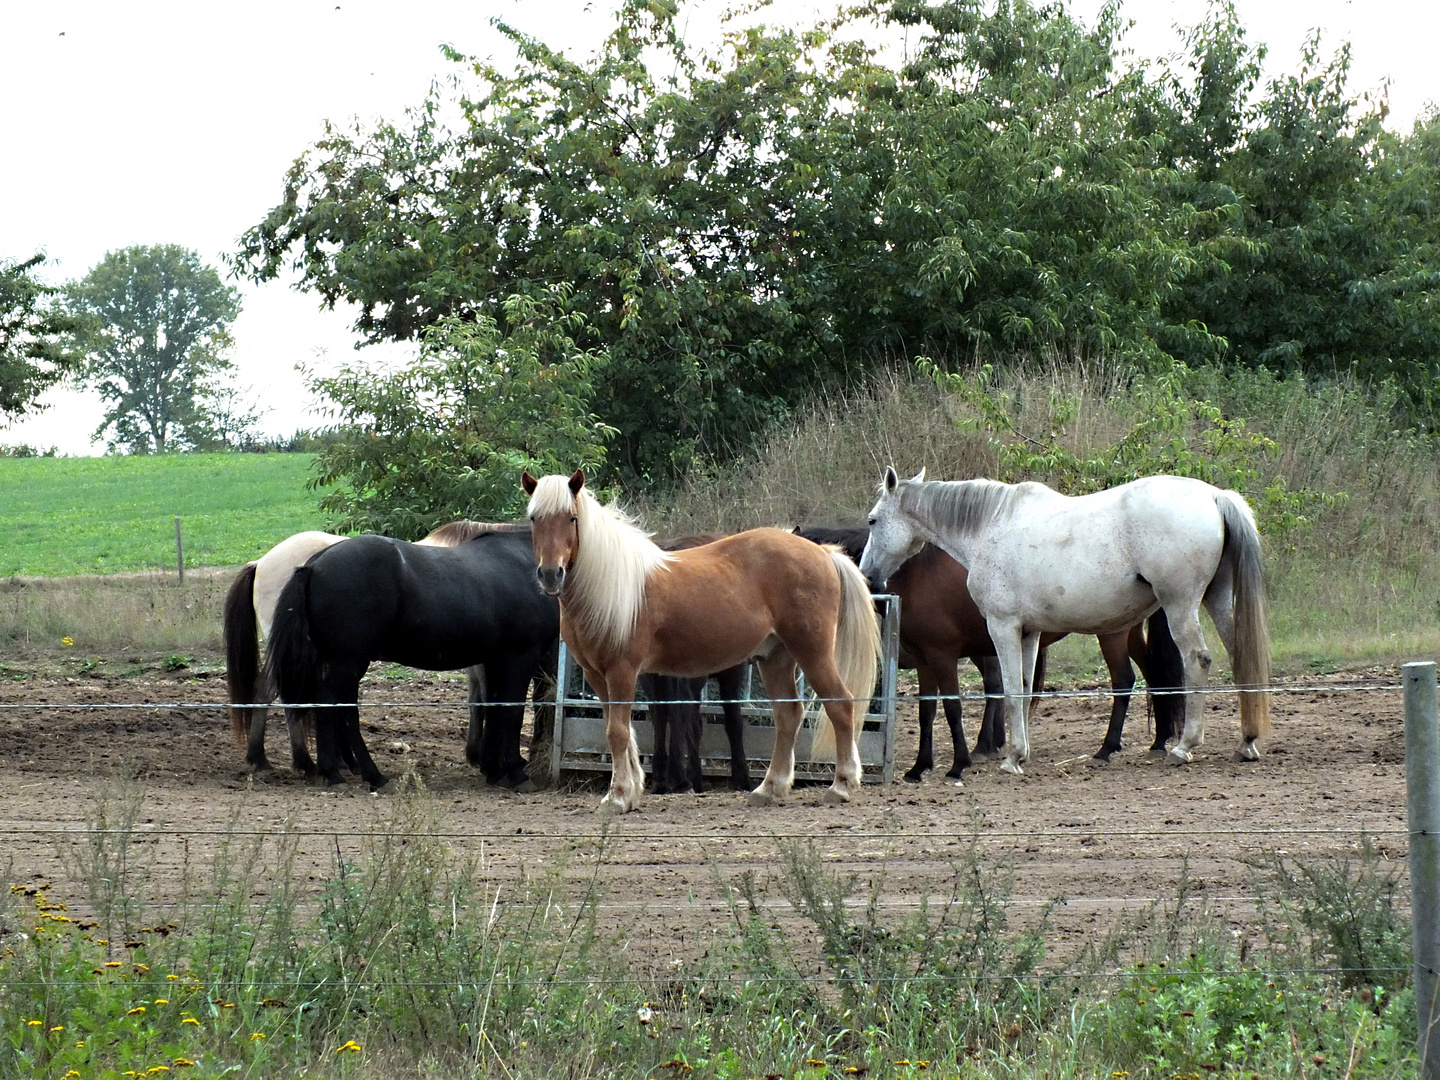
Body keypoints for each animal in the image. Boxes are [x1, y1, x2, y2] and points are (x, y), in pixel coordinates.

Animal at [524, 469, 881, 817]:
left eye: (571, 517)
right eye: (533, 518)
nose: (551, 574)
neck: (612, 585)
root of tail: (823, 553)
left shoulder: (622, 672)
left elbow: (618, 732)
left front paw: (620, 797)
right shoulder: (598, 675)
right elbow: (622, 732)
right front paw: (629, 791)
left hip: (813, 653)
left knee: (840, 705)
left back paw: (841, 786)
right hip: (776, 658)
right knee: (788, 715)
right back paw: (769, 789)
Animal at [789, 524, 1180, 777]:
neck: (909, 575)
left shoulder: (942, 656)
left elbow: (952, 709)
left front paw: (958, 763)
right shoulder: (926, 660)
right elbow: (927, 712)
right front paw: (920, 766)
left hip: (1110, 635)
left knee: (1124, 681)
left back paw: (1107, 747)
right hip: (1127, 631)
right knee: (1154, 676)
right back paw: (1160, 739)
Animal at [852, 469, 1272, 771]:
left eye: (872, 520)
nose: (868, 574)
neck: (989, 525)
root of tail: (1214, 496)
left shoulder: (1002, 627)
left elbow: (1009, 690)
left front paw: (1011, 758)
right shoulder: (1029, 633)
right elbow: (1023, 687)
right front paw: (1020, 752)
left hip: (1179, 605)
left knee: (1197, 660)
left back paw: (1184, 747)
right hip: (1215, 600)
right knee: (1239, 655)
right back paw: (1247, 742)